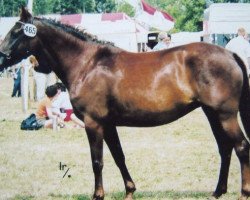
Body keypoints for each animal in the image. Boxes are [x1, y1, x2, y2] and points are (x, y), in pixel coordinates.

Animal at [0, 7, 250, 199]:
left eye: (16, 32)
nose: (1, 57)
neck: (87, 64)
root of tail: (230, 54)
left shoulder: (93, 123)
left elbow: (97, 161)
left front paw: (98, 194)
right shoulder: (108, 124)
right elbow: (119, 156)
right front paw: (130, 190)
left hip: (225, 115)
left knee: (241, 146)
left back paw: (243, 192)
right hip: (211, 113)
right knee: (225, 148)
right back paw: (217, 191)